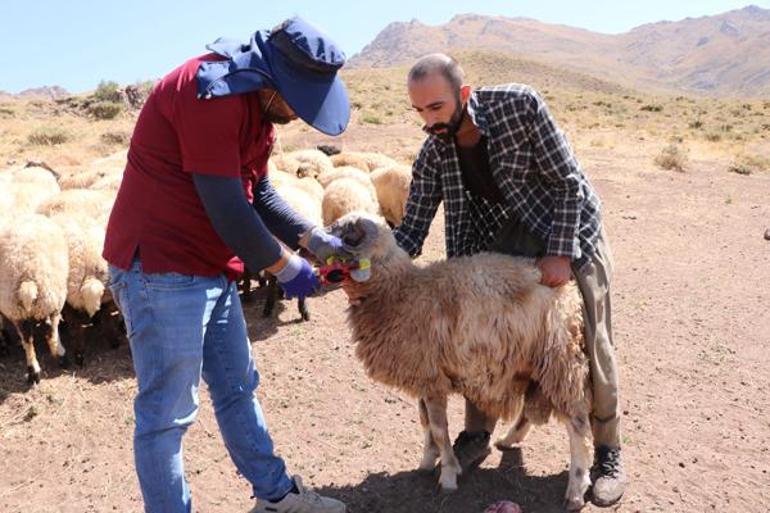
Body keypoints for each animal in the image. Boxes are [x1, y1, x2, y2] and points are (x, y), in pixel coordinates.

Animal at [0, 213, 69, 384]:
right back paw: (60, 356)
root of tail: (27, 278)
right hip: (51, 299)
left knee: (27, 339)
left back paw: (33, 372)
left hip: (15, 308)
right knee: (50, 331)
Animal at [328, 212, 588, 508]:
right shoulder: (425, 376)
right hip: (533, 362)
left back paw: (577, 488)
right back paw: (509, 439)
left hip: (559, 359)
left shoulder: (431, 379)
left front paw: (449, 474)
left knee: (577, 423)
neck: (401, 292)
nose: (309, 240)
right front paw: (428, 461)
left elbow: (440, 429)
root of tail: (567, 290)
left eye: (347, 236)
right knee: (533, 408)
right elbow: (426, 423)